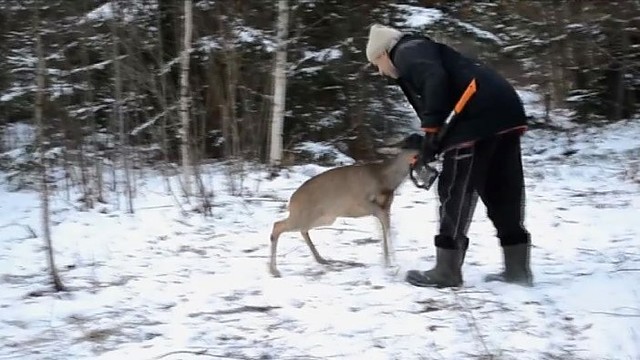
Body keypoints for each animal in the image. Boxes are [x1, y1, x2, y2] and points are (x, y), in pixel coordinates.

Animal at [268, 146, 420, 278]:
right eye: (416, 155)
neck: (385, 179)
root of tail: (292, 201)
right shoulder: (363, 202)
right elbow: (386, 227)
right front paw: (392, 263)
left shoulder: (386, 206)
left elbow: (384, 229)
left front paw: (387, 261)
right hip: (304, 215)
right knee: (277, 225)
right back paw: (274, 270)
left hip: (324, 217)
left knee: (301, 230)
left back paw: (321, 259)